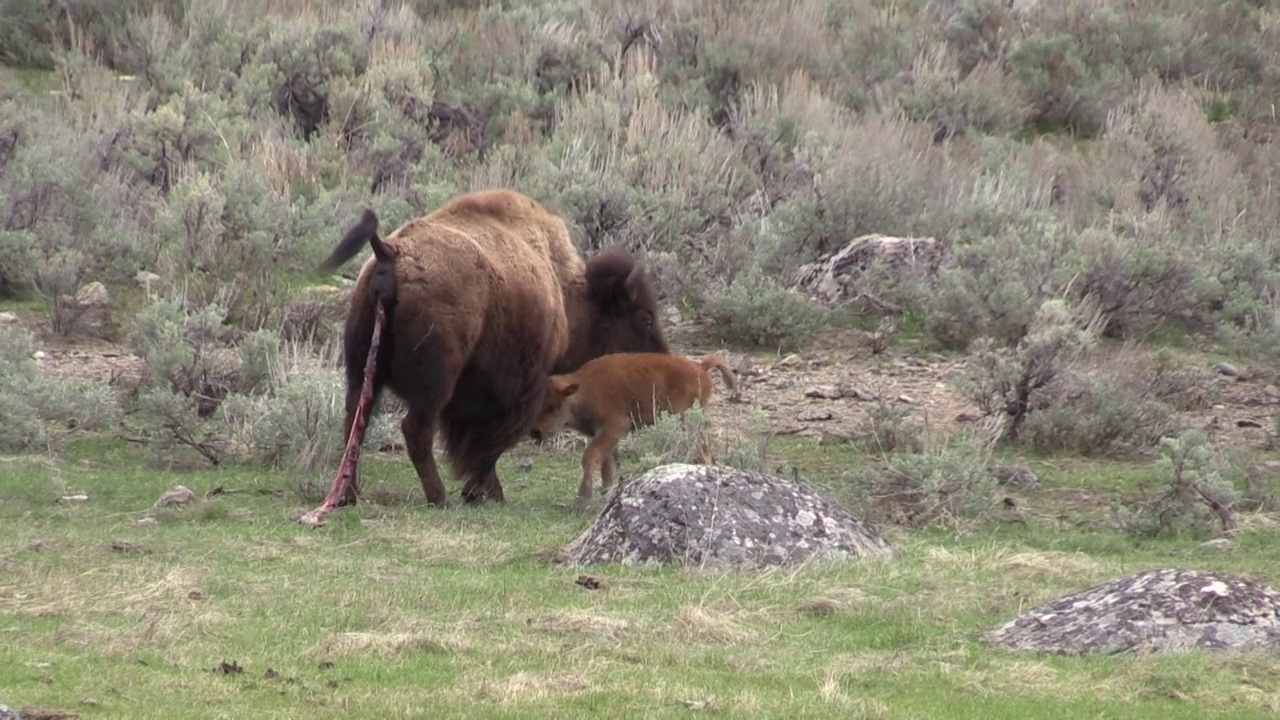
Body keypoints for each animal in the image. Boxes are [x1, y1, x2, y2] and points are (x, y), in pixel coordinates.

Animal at [298, 188, 670, 525]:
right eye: (645, 318)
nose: (662, 363)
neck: (565, 292)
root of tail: (391, 252)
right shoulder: (520, 392)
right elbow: (490, 445)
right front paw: (482, 492)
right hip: (436, 382)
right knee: (415, 429)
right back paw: (439, 498)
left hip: (362, 371)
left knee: (354, 422)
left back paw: (349, 495)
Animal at [524, 351, 737, 507]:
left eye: (552, 406)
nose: (536, 431)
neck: (584, 389)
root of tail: (700, 367)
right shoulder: (604, 435)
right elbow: (607, 466)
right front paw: (605, 495)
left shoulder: (615, 428)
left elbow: (590, 457)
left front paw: (582, 499)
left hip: (684, 421)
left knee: (702, 450)